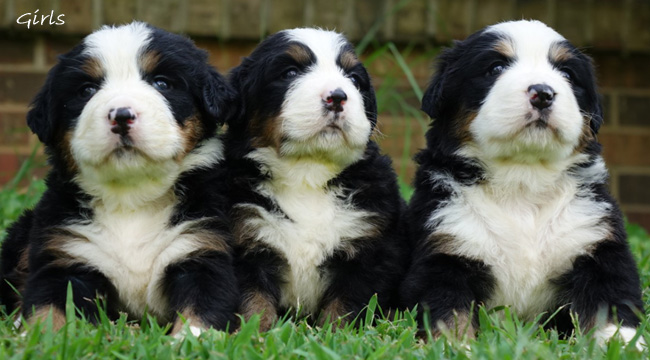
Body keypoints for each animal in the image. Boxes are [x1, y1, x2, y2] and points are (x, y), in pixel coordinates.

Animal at [0, 21, 238, 334]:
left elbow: (201, 313)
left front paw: (188, 340)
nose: (122, 115)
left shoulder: (203, 249)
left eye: (162, 83)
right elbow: (49, 311)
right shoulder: (64, 254)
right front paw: (37, 337)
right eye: (87, 90)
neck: (131, 197)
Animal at [225, 28, 402, 330]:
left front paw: (337, 334)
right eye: (290, 72)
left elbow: (344, 309)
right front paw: (254, 333)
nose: (338, 96)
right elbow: (254, 302)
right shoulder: (245, 239)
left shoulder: (368, 248)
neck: (308, 173)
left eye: (354, 79)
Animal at [400, 20, 644, 346]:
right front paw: (456, 347)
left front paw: (625, 345)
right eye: (496, 67)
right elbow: (449, 312)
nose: (543, 92)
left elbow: (612, 302)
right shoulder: (445, 249)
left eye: (567, 74)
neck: (523, 181)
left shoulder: (596, 244)